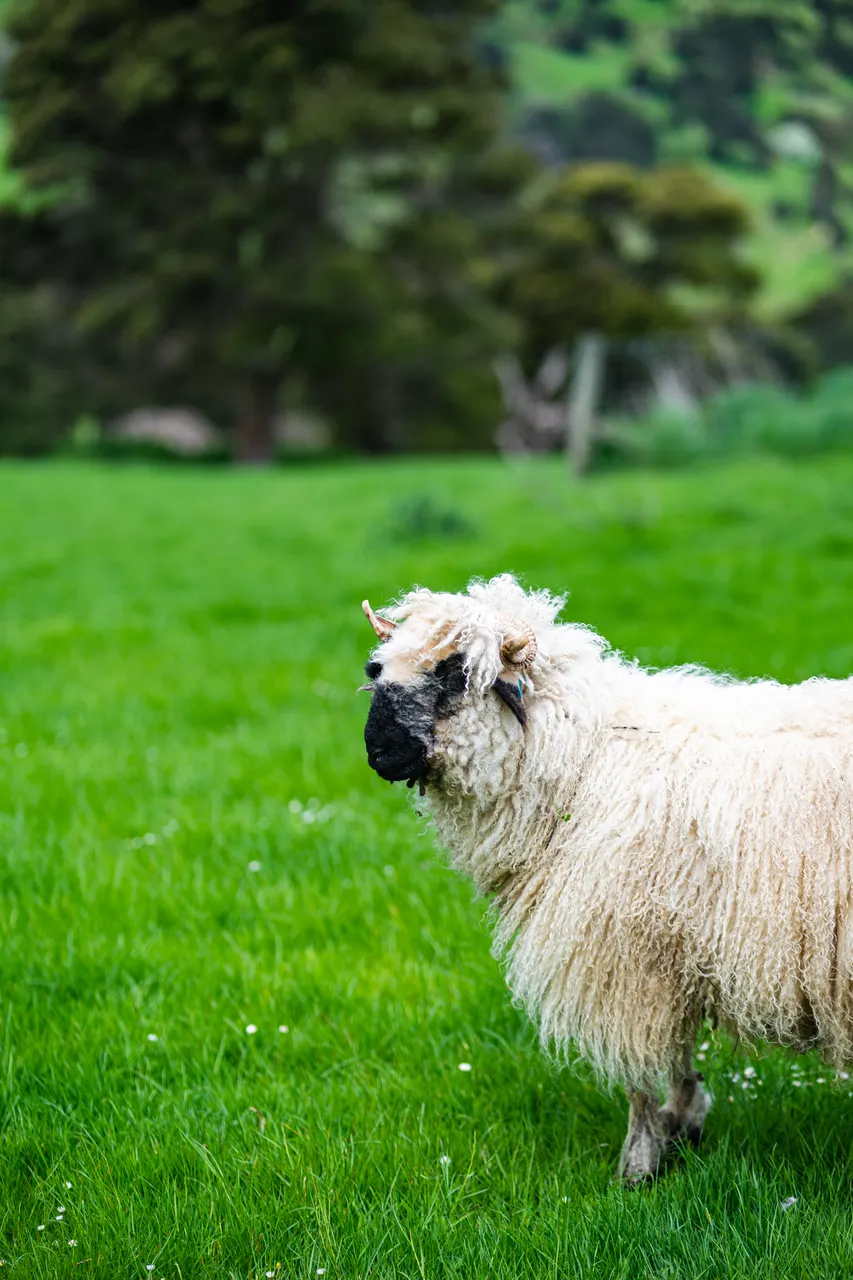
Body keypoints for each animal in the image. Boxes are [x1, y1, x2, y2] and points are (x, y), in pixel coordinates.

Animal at [361, 574, 853, 1182]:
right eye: (376, 670)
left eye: (454, 672)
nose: (377, 751)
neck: (582, 761)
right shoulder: (665, 958)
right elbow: (677, 1057)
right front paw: (684, 1120)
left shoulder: (624, 958)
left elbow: (640, 1075)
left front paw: (640, 1163)